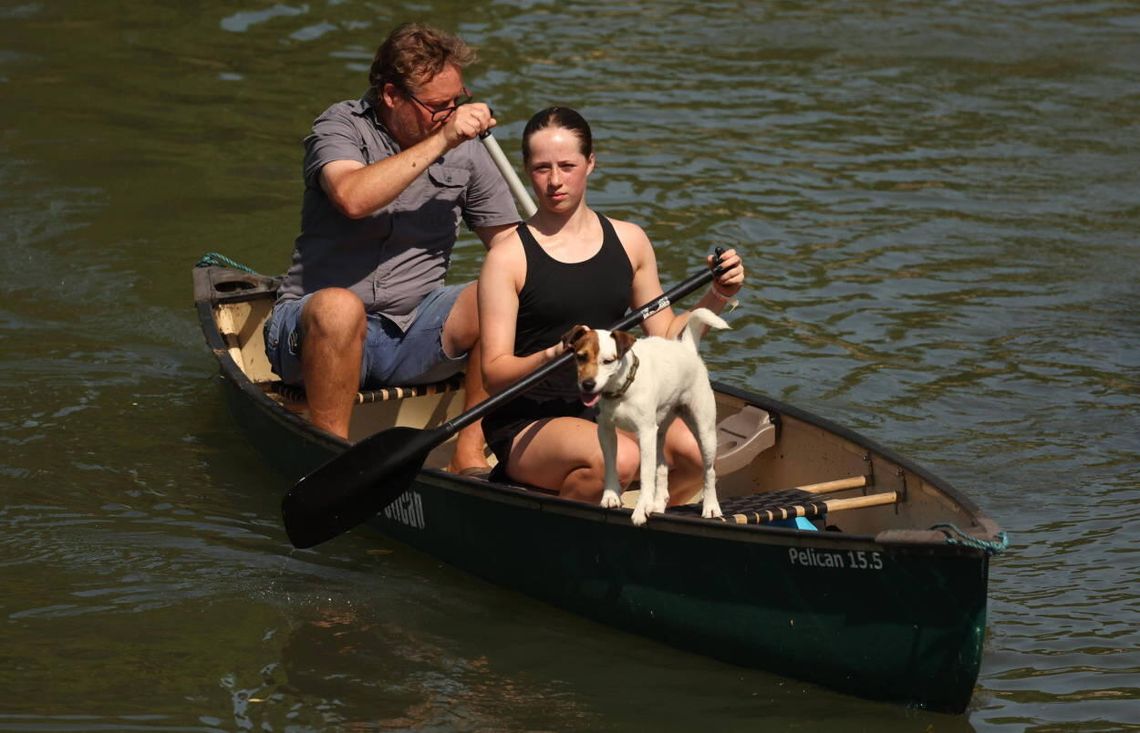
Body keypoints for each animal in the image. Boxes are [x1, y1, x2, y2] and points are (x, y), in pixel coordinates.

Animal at [560, 310, 729, 526]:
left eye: (608, 361)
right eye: (581, 357)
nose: (588, 384)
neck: (622, 390)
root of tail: (687, 348)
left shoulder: (645, 433)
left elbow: (646, 474)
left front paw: (641, 508)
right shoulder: (606, 431)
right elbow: (610, 465)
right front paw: (611, 496)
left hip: (704, 432)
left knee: (709, 471)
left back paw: (711, 507)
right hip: (660, 433)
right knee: (662, 469)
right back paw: (657, 504)